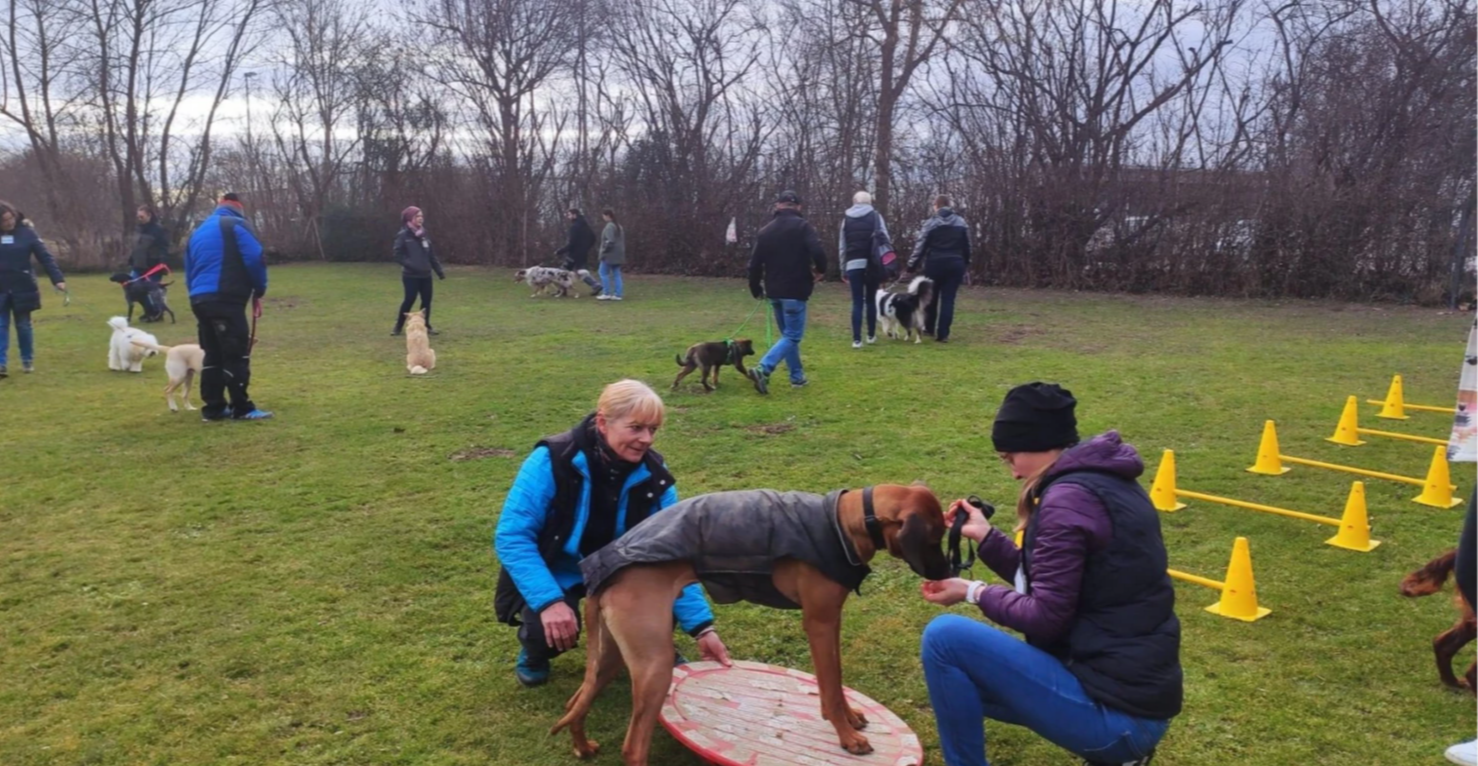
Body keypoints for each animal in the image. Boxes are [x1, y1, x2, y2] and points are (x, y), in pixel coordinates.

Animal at [549, 487, 951, 766]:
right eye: (934, 539)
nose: (947, 572)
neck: (844, 522)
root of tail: (605, 576)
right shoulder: (819, 623)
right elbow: (830, 683)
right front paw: (846, 736)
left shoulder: (831, 622)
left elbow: (834, 683)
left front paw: (849, 718)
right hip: (655, 664)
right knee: (633, 747)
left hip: (614, 655)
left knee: (576, 700)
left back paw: (582, 746)